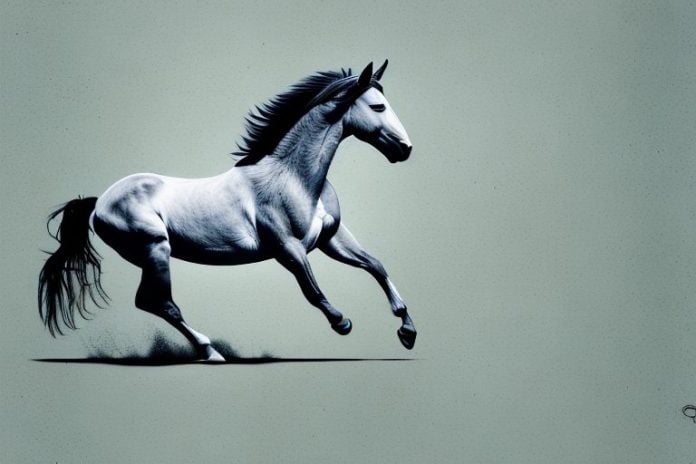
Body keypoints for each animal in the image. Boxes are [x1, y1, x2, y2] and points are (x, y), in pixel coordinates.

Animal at [38, 60, 416, 362]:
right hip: (154, 250)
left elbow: (376, 265)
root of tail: (99, 202)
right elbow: (313, 291)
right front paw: (342, 322)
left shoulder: (330, 239)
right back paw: (211, 352)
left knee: (153, 303)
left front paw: (407, 330)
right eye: (378, 107)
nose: (406, 149)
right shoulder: (287, 248)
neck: (292, 176)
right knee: (159, 303)